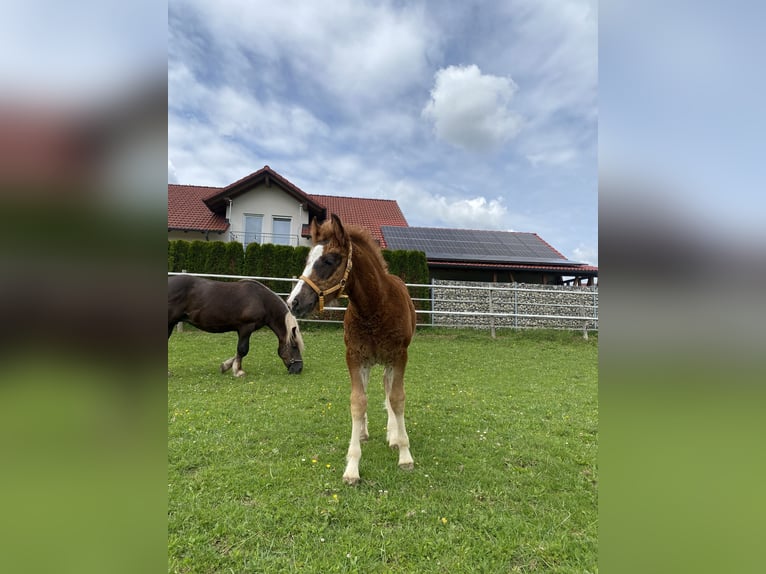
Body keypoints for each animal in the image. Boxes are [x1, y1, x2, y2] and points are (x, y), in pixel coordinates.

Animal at [168, 275, 304, 377]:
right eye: (294, 346)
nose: (298, 369)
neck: (262, 300)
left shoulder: (241, 330)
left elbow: (239, 351)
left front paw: (225, 366)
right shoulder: (246, 327)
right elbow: (243, 349)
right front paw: (238, 371)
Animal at [287, 214, 417, 485]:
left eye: (329, 260)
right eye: (308, 259)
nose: (293, 302)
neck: (375, 306)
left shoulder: (399, 357)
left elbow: (397, 399)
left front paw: (404, 454)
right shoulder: (354, 358)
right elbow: (358, 402)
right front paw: (352, 468)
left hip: (388, 360)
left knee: (388, 389)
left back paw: (393, 435)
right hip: (368, 362)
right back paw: (365, 433)